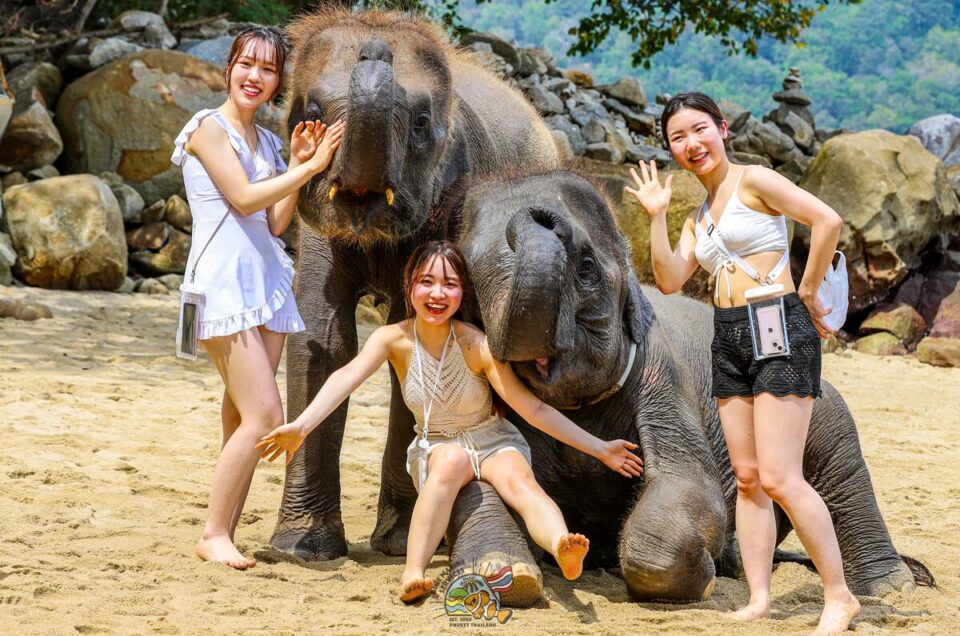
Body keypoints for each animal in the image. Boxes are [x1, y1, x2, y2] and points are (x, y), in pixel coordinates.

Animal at [273, 9, 558, 559]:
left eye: (422, 123)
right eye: (311, 112)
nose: (375, 46)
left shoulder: (452, 200)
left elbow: (412, 338)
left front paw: (398, 541)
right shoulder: (313, 224)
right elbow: (323, 338)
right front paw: (297, 550)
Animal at [439, 168, 932, 603]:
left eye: (586, 268)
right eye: (474, 285)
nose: (540, 212)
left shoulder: (661, 372)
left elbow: (690, 487)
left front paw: (706, 578)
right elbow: (489, 475)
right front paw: (510, 574)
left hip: (815, 399)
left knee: (840, 460)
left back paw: (888, 588)